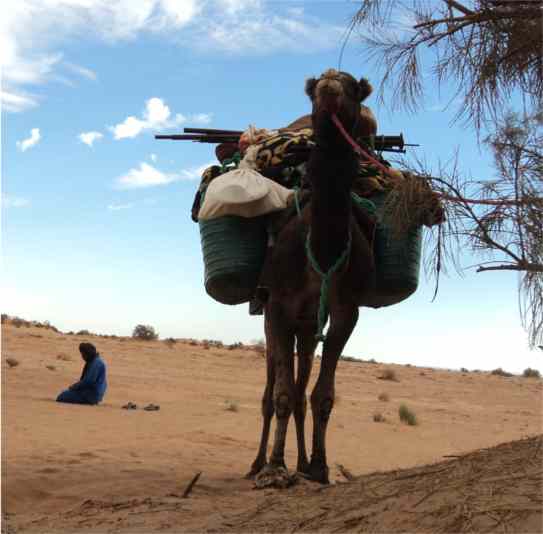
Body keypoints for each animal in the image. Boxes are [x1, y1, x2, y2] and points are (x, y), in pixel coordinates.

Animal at [249, 70, 376, 486]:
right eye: (316, 86)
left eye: (352, 86)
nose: (329, 87)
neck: (321, 248)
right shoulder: (277, 307)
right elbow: (281, 395)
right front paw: (274, 467)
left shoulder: (346, 311)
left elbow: (321, 395)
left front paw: (319, 467)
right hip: (275, 321)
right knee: (272, 390)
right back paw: (257, 464)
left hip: (306, 329)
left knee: (302, 387)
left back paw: (302, 464)